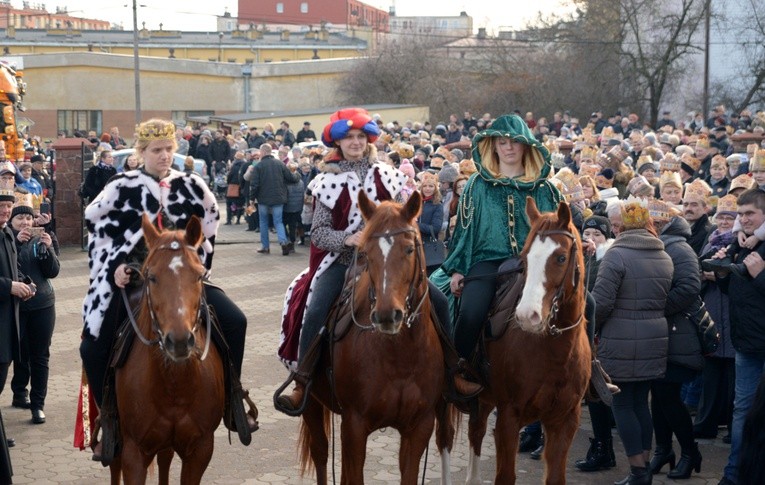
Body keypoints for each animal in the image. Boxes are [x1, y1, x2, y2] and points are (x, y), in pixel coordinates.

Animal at [109, 216, 225, 484]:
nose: (179, 341)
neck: (174, 386)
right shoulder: (134, 453)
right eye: (151, 277)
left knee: (165, 457)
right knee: (114, 464)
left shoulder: (200, 450)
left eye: (199, 275)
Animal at [296, 191, 454, 482]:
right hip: (310, 402)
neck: (400, 358)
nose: (386, 315)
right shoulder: (355, 425)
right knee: (320, 452)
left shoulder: (419, 426)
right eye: (366, 254)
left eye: (409, 249)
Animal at [462, 198, 588, 484]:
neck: (556, 353)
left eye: (561, 257)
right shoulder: (509, 416)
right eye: (526, 258)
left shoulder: (565, 420)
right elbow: (505, 476)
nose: (527, 316)